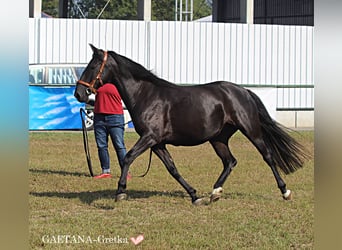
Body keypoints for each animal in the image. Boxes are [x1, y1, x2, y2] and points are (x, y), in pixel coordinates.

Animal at [74, 45, 308, 205]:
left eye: (92, 65)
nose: (79, 93)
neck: (146, 95)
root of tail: (243, 91)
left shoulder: (150, 137)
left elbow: (127, 157)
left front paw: (120, 191)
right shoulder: (157, 143)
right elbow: (172, 169)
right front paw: (195, 196)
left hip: (250, 130)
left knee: (267, 156)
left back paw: (285, 191)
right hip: (218, 138)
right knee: (230, 161)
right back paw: (214, 193)